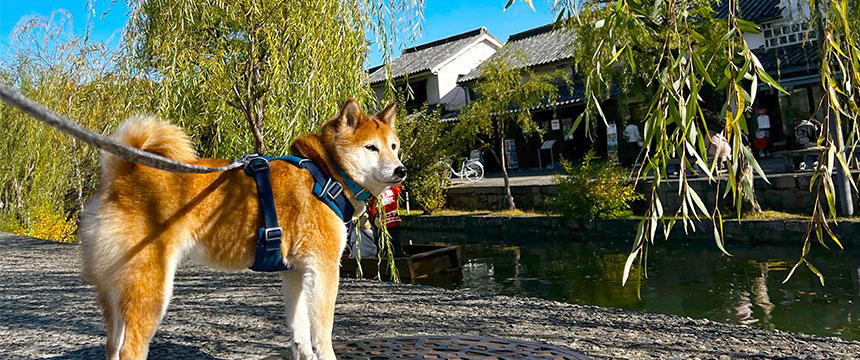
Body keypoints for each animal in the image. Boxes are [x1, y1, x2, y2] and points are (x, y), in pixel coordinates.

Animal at [78, 99, 406, 360]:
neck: (327, 175)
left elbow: (299, 332)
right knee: (130, 349)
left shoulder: (296, 273)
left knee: (111, 346)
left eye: (393, 146)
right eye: (371, 148)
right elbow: (321, 334)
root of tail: (120, 175)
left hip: (117, 291)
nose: (401, 170)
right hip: (151, 288)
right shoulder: (324, 268)